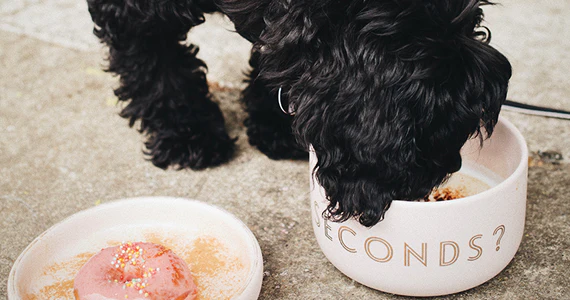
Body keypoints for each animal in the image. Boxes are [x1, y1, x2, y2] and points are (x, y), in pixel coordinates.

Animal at [87, 0, 510, 225]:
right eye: (430, 133)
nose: (448, 171)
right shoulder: (130, 12)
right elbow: (156, 63)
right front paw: (187, 134)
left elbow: (275, 58)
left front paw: (273, 124)